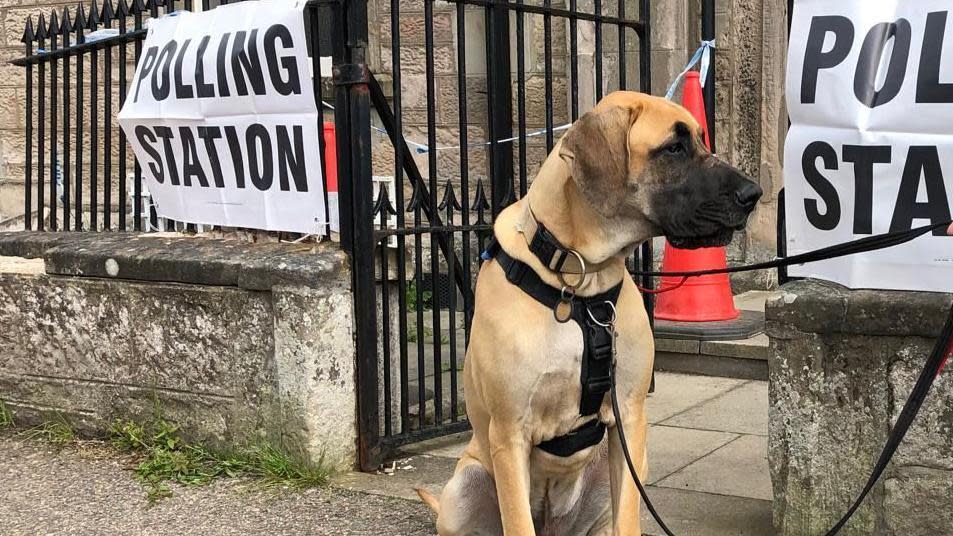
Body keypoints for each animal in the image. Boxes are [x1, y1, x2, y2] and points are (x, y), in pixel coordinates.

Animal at [412, 90, 764, 532]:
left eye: (702, 140)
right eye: (674, 147)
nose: (754, 194)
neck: (577, 283)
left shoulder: (629, 418)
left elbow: (628, 516)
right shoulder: (509, 434)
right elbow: (518, 521)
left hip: (623, 467)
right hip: (465, 486)